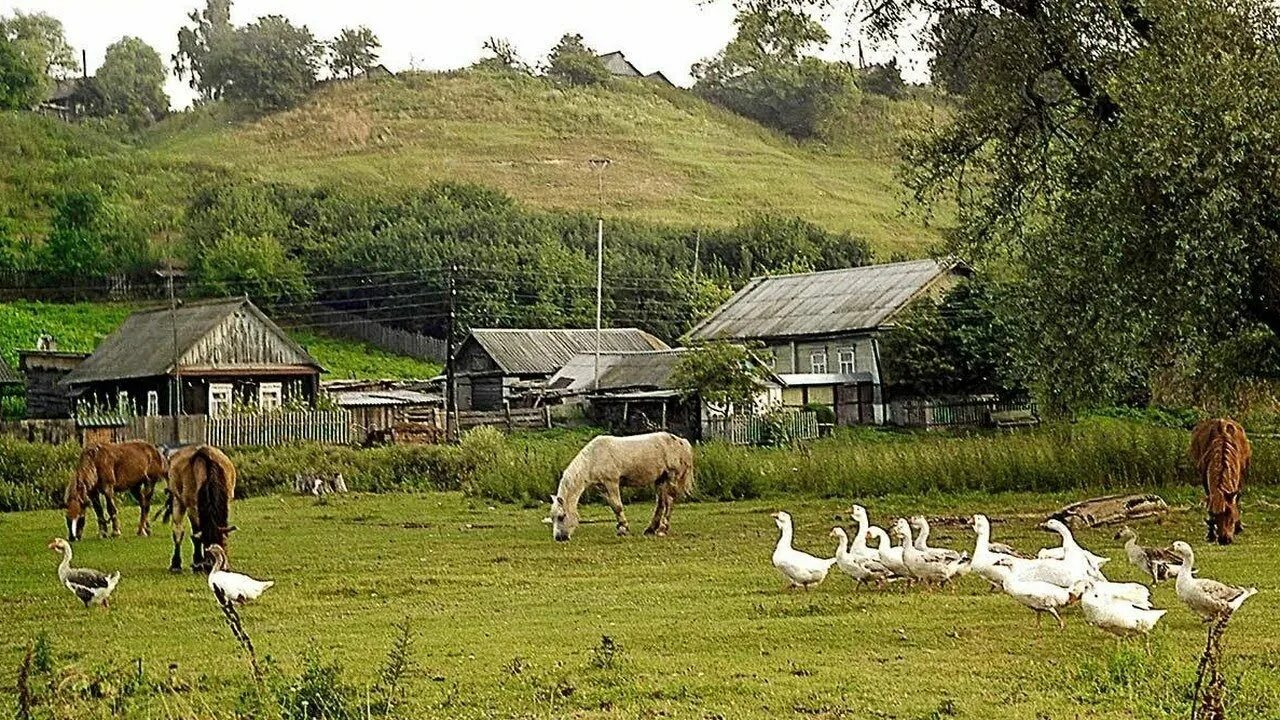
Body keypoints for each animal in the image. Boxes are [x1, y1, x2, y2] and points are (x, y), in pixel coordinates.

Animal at [163, 443, 236, 571]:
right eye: (206, 544)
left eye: (221, 542)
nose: (211, 564)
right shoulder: (192, 507)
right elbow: (196, 534)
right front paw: (198, 562)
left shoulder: (226, 502)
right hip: (177, 500)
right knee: (178, 531)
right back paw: (176, 564)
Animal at [547, 427, 696, 540]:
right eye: (552, 518)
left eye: (561, 517)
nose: (559, 538)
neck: (593, 458)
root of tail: (681, 441)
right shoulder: (602, 487)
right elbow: (613, 506)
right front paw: (621, 527)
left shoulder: (611, 482)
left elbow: (618, 506)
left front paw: (623, 529)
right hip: (660, 480)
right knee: (660, 504)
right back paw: (650, 529)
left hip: (671, 477)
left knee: (669, 502)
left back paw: (662, 530)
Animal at [1187, 415, 1249, 543]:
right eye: (1216, 516)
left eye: (1230, 515)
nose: (1224, 540)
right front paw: (1210, 534)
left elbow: (1236, 500)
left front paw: (1238, 527)